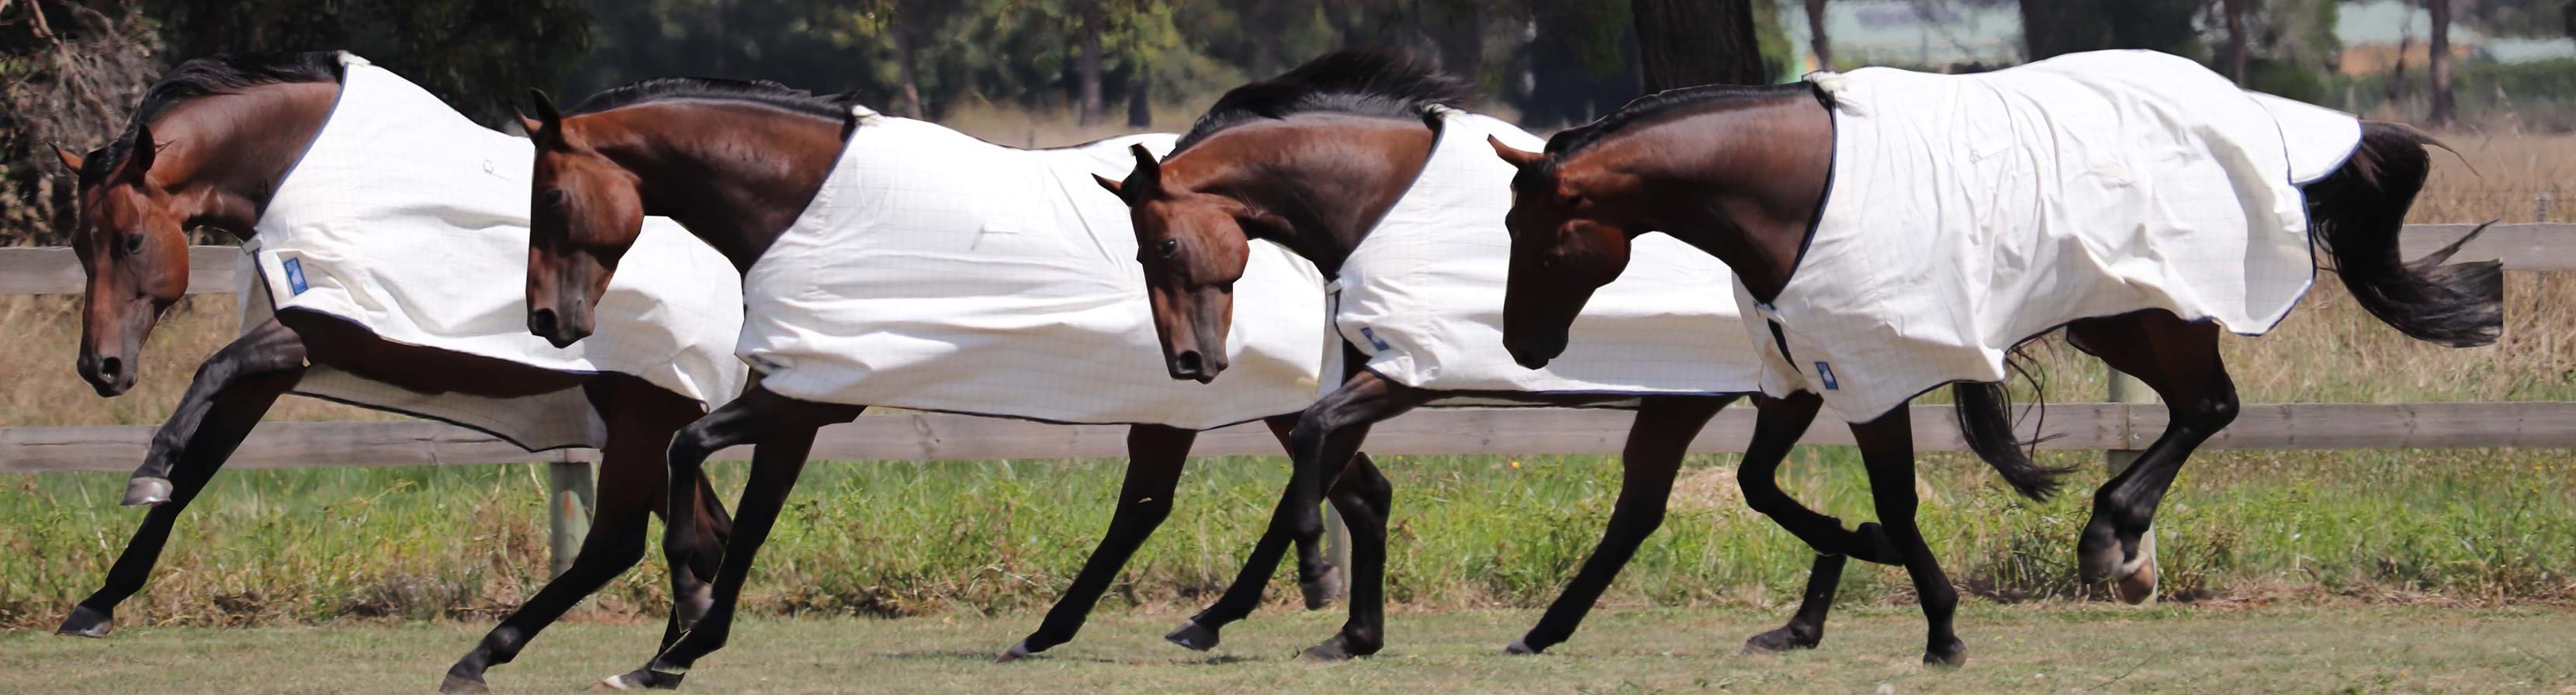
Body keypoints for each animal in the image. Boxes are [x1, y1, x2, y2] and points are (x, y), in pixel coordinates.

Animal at [50, 52, 752, 694]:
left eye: (131, 240)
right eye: (80, 245)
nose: (101, 367)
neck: (302, 164)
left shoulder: (320, 327)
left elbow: (208, 372)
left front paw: (146, 471)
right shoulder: (277, 367)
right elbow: (195, 471)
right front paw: (96, 604)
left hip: (644, 416)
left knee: (617, 543)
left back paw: (488, 660)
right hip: (639, 419)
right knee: (702, 537)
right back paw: (666, 658)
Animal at [516, 78, 1391, 687]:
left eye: (550, 195)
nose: (547, 318)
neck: (802, 209)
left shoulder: (793, 397)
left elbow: (692, 455)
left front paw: (680, 638)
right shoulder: (801, 403)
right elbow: (752, 514)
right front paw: (676, 648)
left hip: (1246, 393)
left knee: (1298, 488)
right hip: (1191, 396)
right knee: (1317, 493)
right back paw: (1327, 631)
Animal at [1095, 49, 2065, 660]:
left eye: (1161, 246)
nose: (1191, 362)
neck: (1380, 204)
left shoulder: (1403, 374)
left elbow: (1310, 456)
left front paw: (1296, 585)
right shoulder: (1375, 375)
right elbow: (1324, 470)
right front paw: (1313, 623)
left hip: (1738, 395)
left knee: (1671, 505)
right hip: (1765, 394)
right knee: (1713, 494)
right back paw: (1802, 603)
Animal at [1490, 51, 2503, 665]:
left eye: (1537, 242)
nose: (1523, 347)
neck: (1793, 190)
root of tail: (2260, 120)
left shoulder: (1869, 378)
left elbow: (1893, 501)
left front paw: (1939, 625)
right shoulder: (1802, 368)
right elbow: (1755, 485)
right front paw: (1837, 574)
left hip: (2167, 309)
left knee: (2209, 407)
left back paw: (2109, 537)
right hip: (2111, 319)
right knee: (2195, 408)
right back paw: (2117, 542)